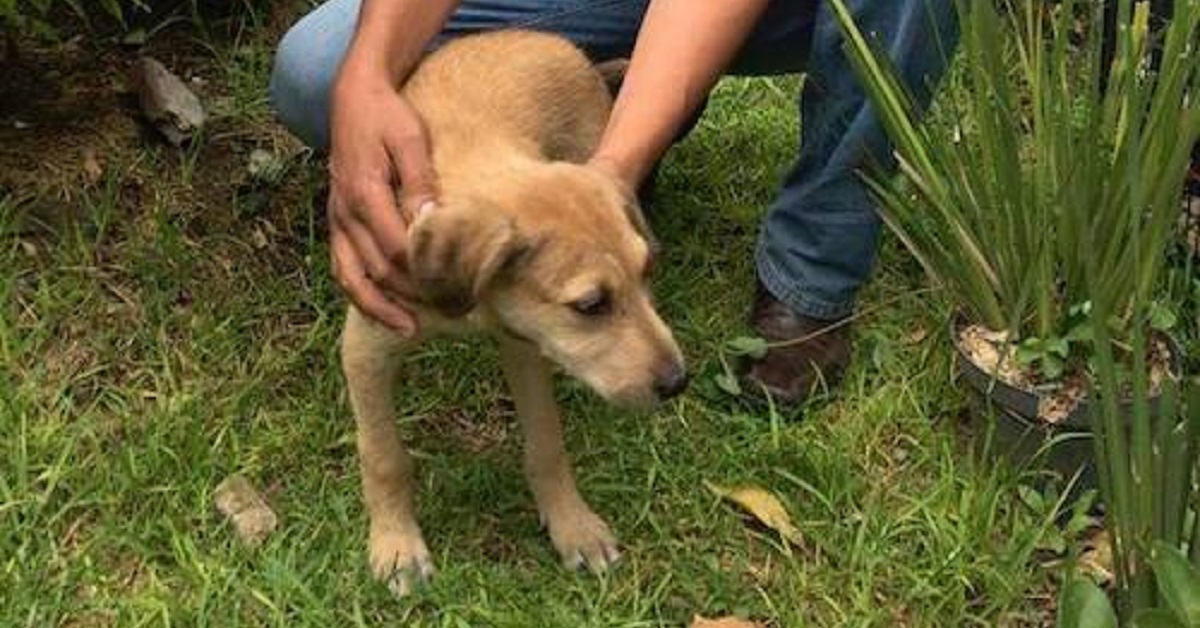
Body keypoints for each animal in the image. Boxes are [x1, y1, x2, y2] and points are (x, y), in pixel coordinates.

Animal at [343, 30, 691, 600]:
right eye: (591, 305)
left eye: (647, 272)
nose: (679, 382)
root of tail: (545, 37)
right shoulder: (367, 345)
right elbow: (383, 456)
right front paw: (397, 546)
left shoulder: (528, 344)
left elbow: (546, 442)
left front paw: (573, 525)